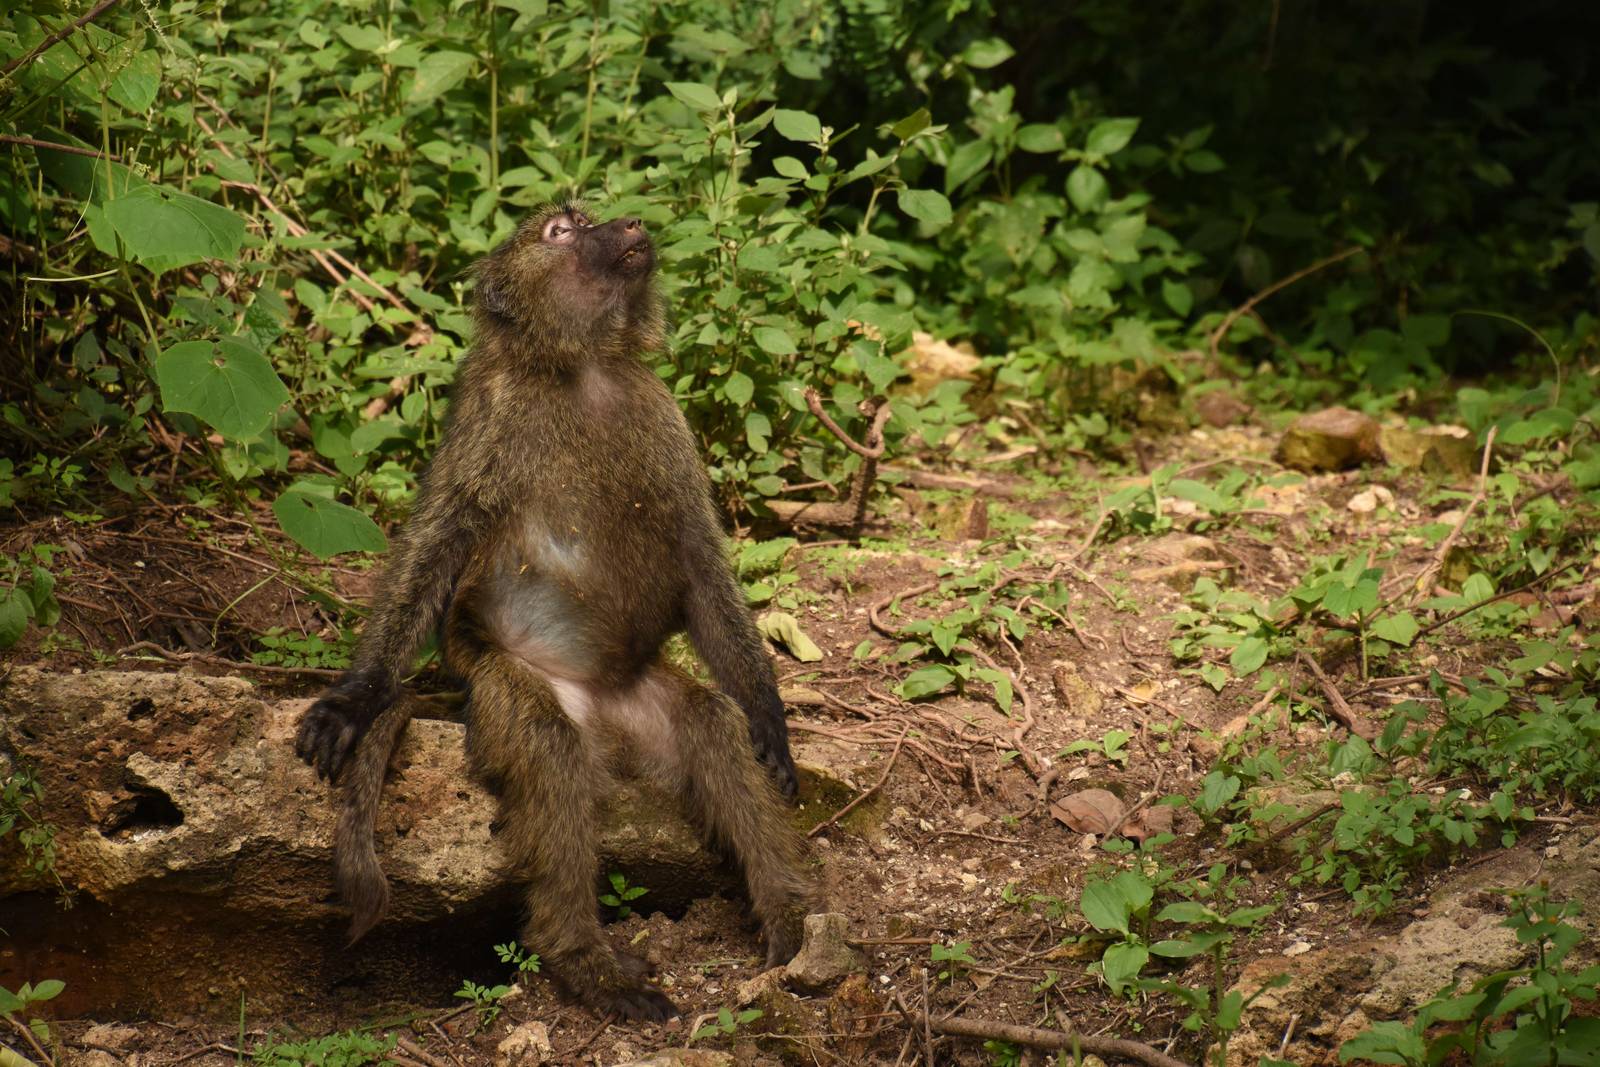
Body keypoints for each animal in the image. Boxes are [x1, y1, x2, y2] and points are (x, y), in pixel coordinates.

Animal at [295, 203, 812, 1022]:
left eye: (589, 216)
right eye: (560, 233)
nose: (626, 222)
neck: (584, 371)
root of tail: (601, 707)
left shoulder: (663, 419)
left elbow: (700, 558)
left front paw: (770, 717)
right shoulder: (492, 419)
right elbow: (438, 542)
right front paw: (353, 700)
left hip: (643, 700)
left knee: (710, 727)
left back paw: (787, 920)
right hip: (504, 683)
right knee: (551, 749)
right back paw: (583, 961)